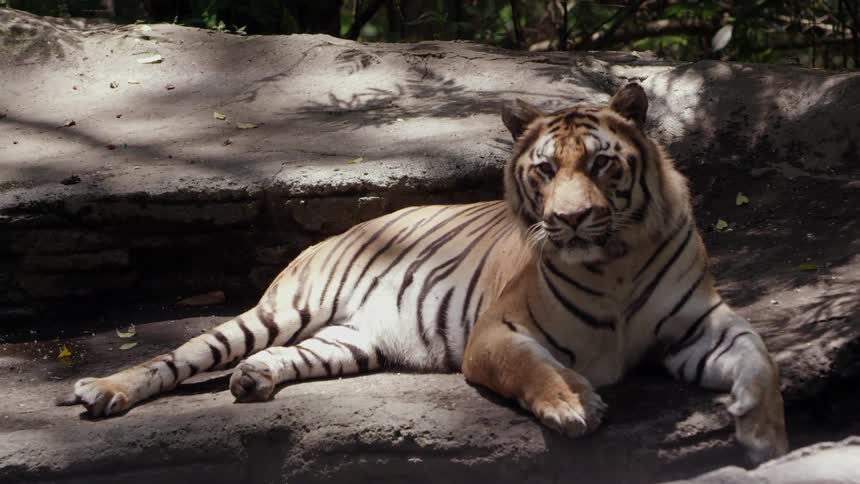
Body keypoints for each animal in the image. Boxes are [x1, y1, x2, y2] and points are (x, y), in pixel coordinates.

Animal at [58, 83, 788, 463]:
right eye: (546, 170)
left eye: (602, 164)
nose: (573, 220)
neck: (615, 262)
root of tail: (345, 228)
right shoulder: (497, 333)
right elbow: (533, 370)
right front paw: (573, 402)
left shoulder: (702, 328)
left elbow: (762, 361)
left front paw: (765, 437)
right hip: (278, 310)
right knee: (178, 357)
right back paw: (104, 391)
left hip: (347, 342)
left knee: (286, 357)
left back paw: (254, 379)